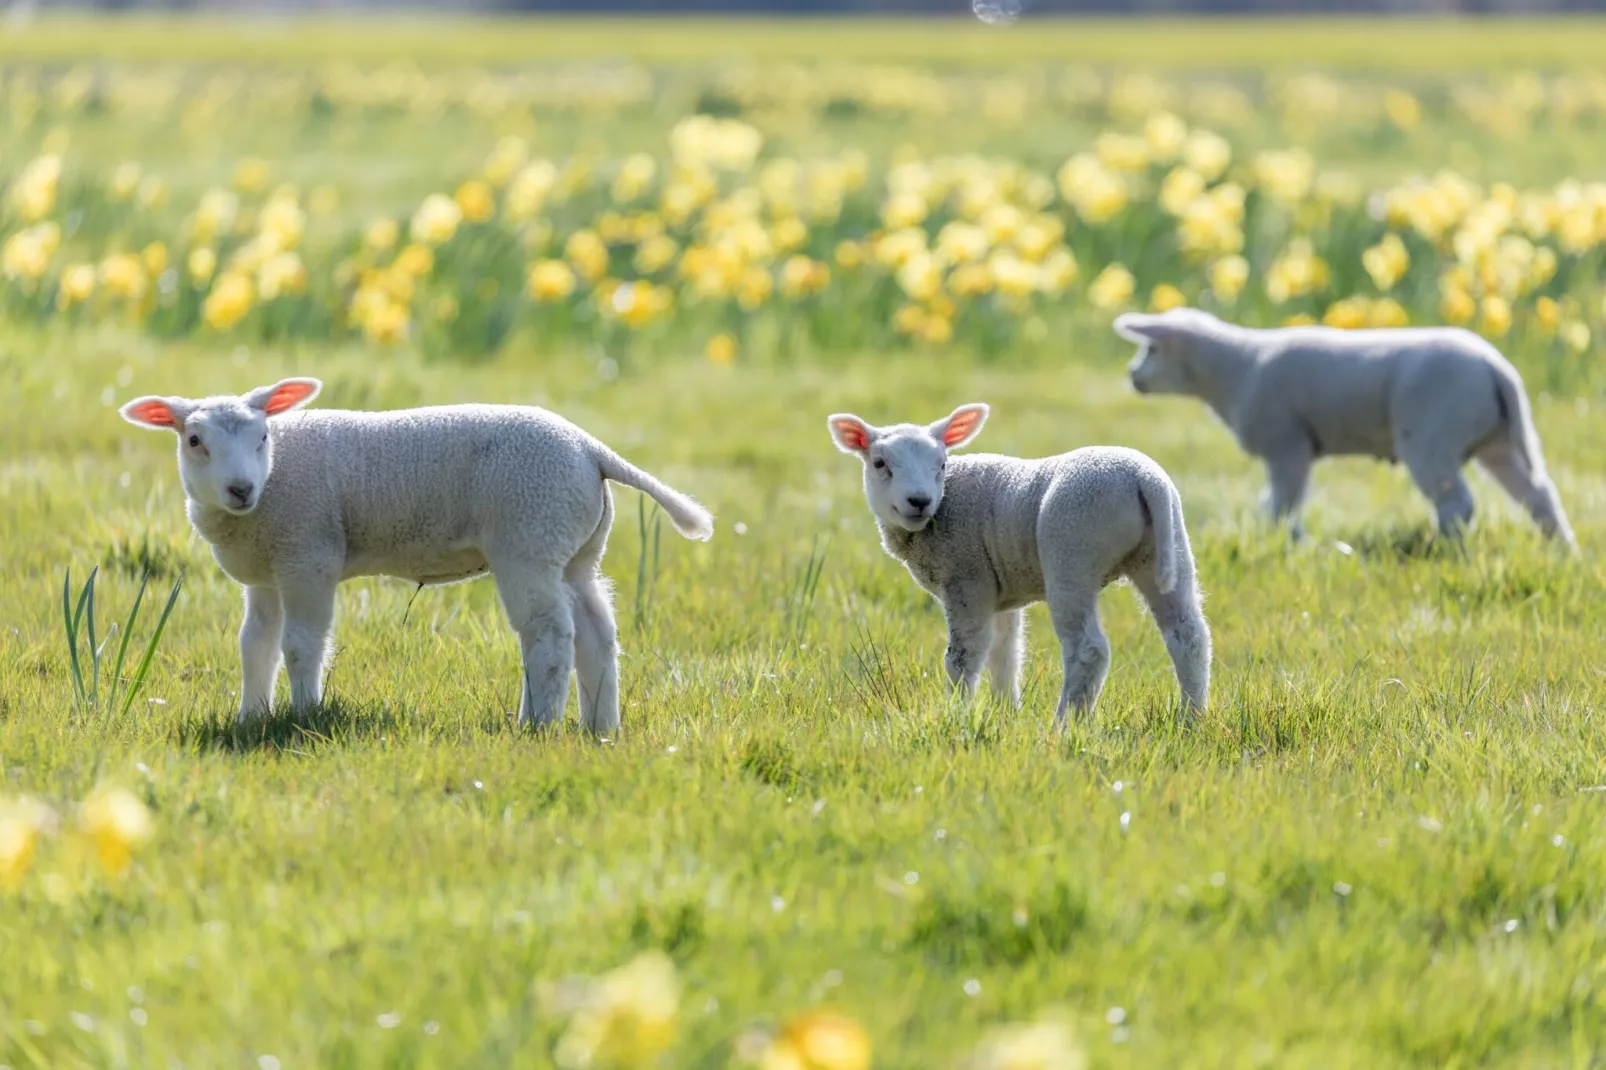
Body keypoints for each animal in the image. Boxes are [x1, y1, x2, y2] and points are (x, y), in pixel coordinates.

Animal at [116, 377, 713, 732]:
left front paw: (304, 713)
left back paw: (538, 725)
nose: (240, 489)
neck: (271, 486)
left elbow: (301, 645)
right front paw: (250, 717)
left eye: (263, 437)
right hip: (575, 546)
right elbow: (254, 646)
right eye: (194, 441)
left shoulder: (309, 553)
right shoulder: (266, 571)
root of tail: (592, 449)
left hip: (529, 534)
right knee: (597, 631)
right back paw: (600, 728)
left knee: (549, 633)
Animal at [828, 404, 1207, 719]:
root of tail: (1144, 480)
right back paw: (1191, 719)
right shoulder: (999, 592)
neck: (944, 504)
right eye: (879, 463)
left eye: (942, 464)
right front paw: (1006, 714)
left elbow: (964, 656)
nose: (919, 501)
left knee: (1088, 650)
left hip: (1072, 551)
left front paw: (957, 715)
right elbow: (1005, 654)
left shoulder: (967, 578)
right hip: (1167, 548)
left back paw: (1064, 725)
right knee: (1188, 637)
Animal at [1111, 306, 1573, 543]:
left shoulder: (1287, 446)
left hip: (1432, 437)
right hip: (1499, 442)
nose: (1132, 376)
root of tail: (1498, 369)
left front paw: (1284, 540)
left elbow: (1282, 501)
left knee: (1458, 503)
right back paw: (1562, 551)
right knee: (1539, 495)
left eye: (1151, 349)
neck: (1235, 368)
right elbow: (1277, 501)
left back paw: (1448, 549)